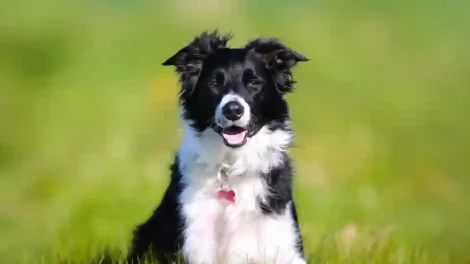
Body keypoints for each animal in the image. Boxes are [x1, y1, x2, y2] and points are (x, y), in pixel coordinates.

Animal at [129, 31, 310, 264]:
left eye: (254, 83)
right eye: (214, 83)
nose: (233, 110)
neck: (232, 167)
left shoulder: (285, 243)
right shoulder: (195, 241)